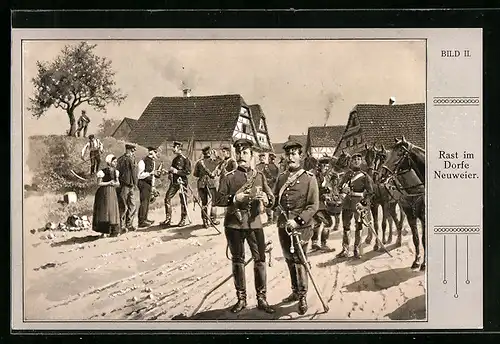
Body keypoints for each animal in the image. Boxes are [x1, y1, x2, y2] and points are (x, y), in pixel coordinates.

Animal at [380, 137, 424, 272]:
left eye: (400, 153)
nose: (382, 174)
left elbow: (424, 239)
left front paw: (424, 264)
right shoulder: (411, 216)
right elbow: (416, 239)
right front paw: (417, 261)